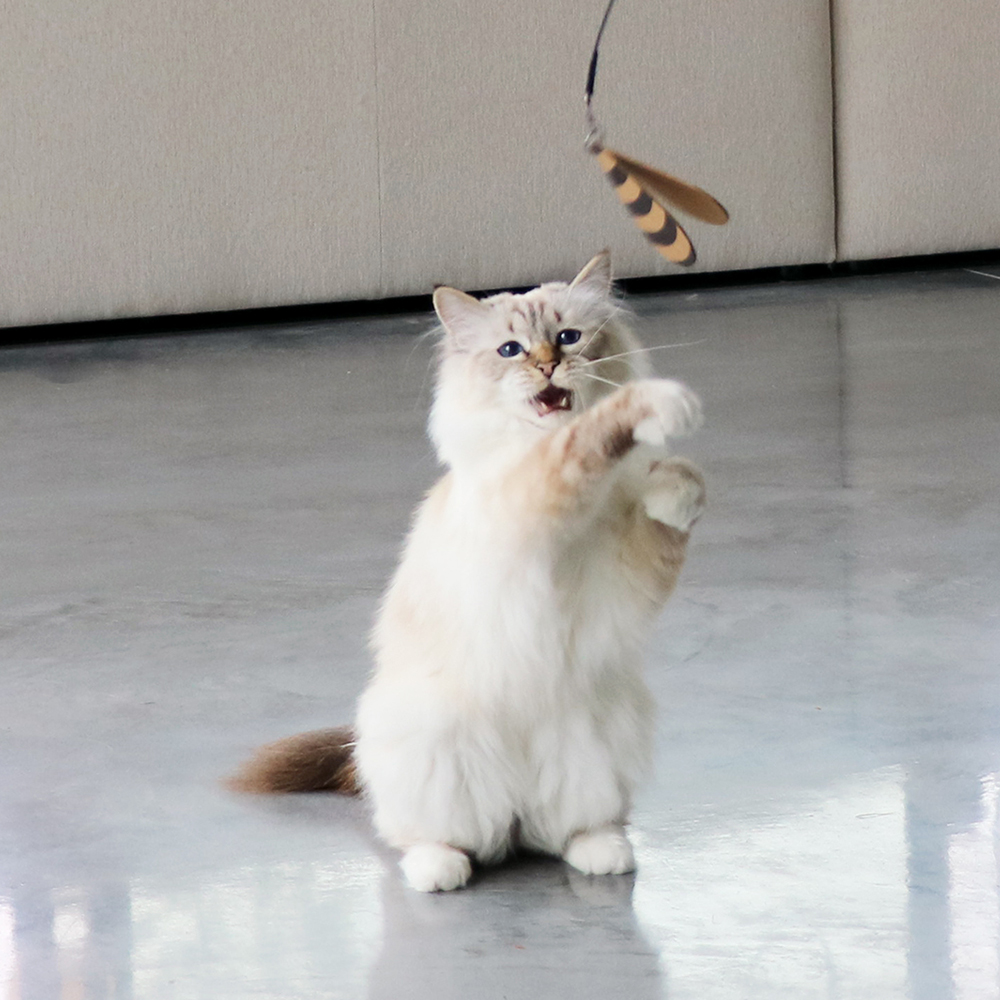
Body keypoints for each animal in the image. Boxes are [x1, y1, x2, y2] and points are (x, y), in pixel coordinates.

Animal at [231, 250, 708, 892]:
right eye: (510, 350)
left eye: (569, 337)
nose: (549, 364)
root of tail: (515, 814)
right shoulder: (532, 499)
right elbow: (586, 439)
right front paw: (661, 405)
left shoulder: (632, 573)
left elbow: (677, 496)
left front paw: (671, 485)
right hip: (431, 740)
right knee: (435, 836)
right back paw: (440, 870)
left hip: (603, 733)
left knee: (558, 833)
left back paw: (599, 851)